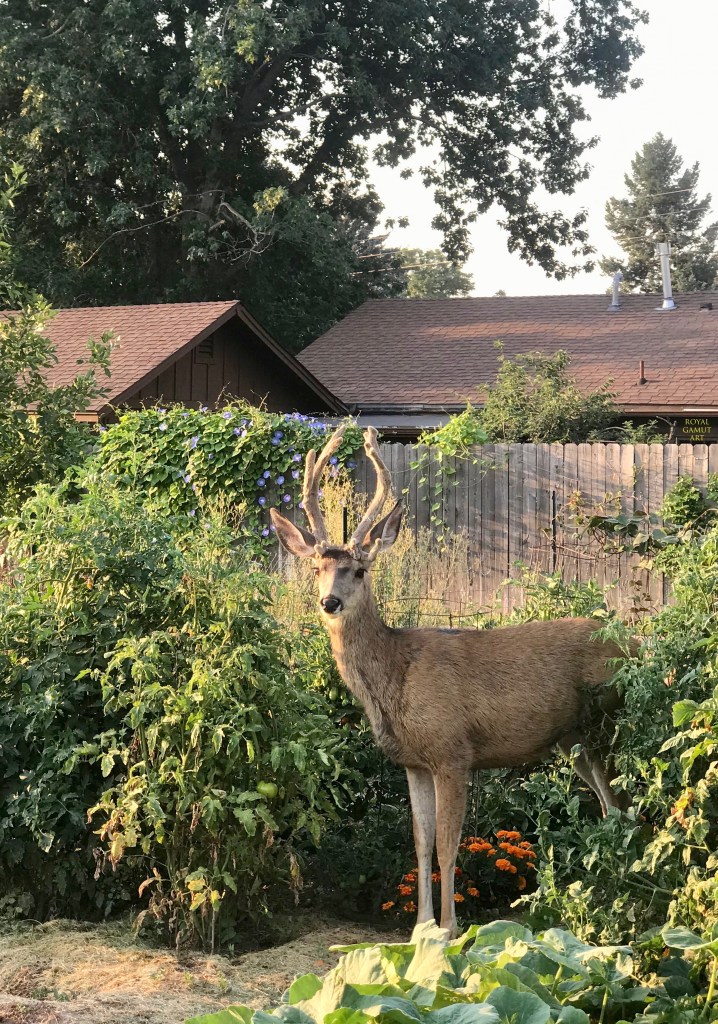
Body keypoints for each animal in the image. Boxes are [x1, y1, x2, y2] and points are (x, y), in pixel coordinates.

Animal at [270, 425, 630, 937]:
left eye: (359, 569)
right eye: (317, 567)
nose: (329, 602)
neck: (396, 676)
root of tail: (638, 645)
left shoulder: (453, 751)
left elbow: (447, 843)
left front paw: (449, 928)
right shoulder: (413, 762)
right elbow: (420, 842)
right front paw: (419, 927)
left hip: (608, 723)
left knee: (623, 802)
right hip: (573, 740)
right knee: (609, 806)